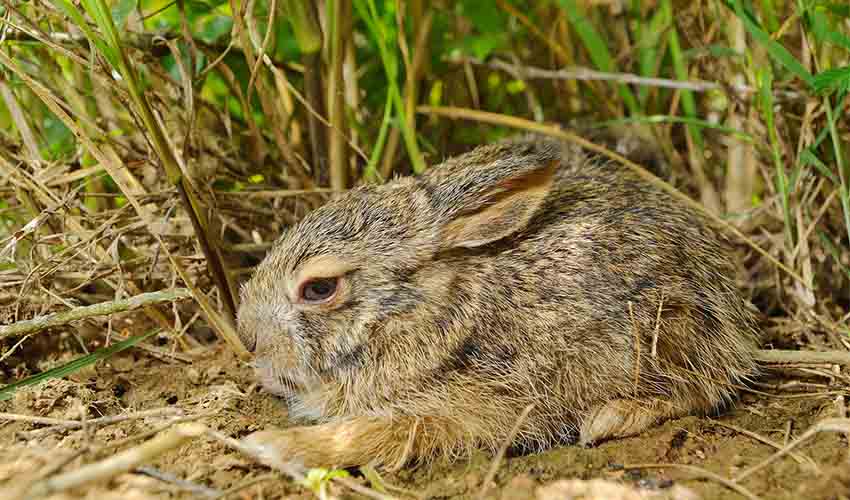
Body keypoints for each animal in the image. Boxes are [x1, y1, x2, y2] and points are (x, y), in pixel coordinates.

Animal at [235, 136, 760, 470]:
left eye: (319, 289)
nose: (249, 337)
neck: (419, 314)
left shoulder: (474, 406)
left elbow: (377, 433)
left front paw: (270, 447)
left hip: (664, 333)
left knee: (700, 390)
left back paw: (612, 417)